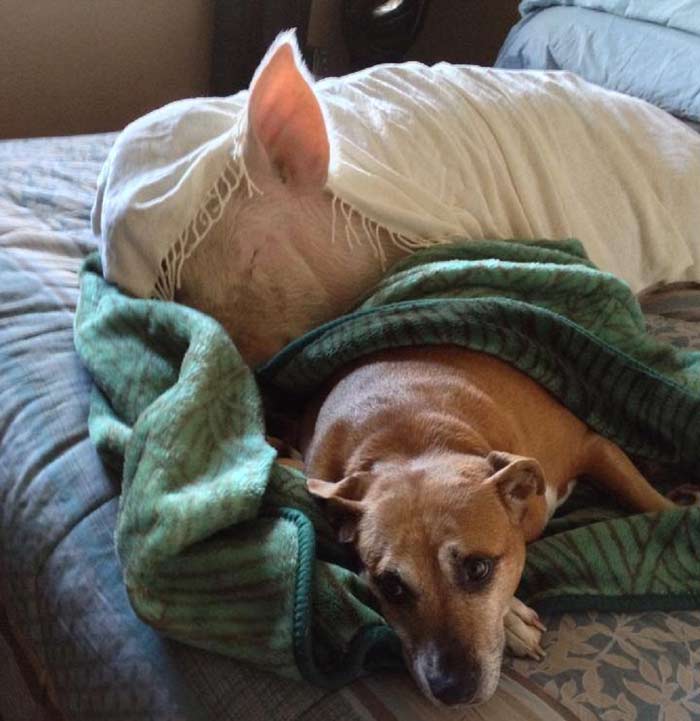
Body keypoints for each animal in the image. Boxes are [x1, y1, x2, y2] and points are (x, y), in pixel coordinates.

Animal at [298, 345, 680, 706]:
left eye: (478, 568)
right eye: (391, 587)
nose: (451, 689)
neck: (409, 442)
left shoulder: (593, 446)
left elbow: (655, 503)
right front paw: (512, 620)